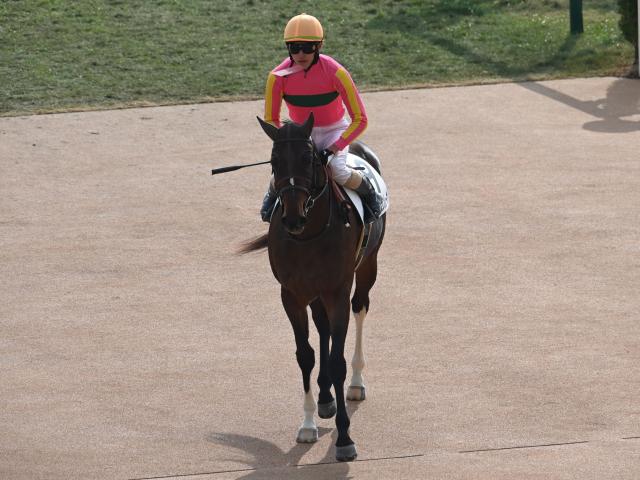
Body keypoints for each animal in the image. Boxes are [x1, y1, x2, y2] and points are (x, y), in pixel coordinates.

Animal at [240, 113, 386, 462]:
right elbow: (305, 354)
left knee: (361, 308)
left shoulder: (338, 290)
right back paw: (324, 398)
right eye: (274, 160)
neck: (309, 236)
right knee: (323, 328)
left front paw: (345, 438)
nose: (293, 218)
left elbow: (337, 360)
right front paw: (307, 424)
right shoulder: (292, 294)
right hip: (315, 293)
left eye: (308, 158)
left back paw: (356, 384)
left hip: (368, 266)